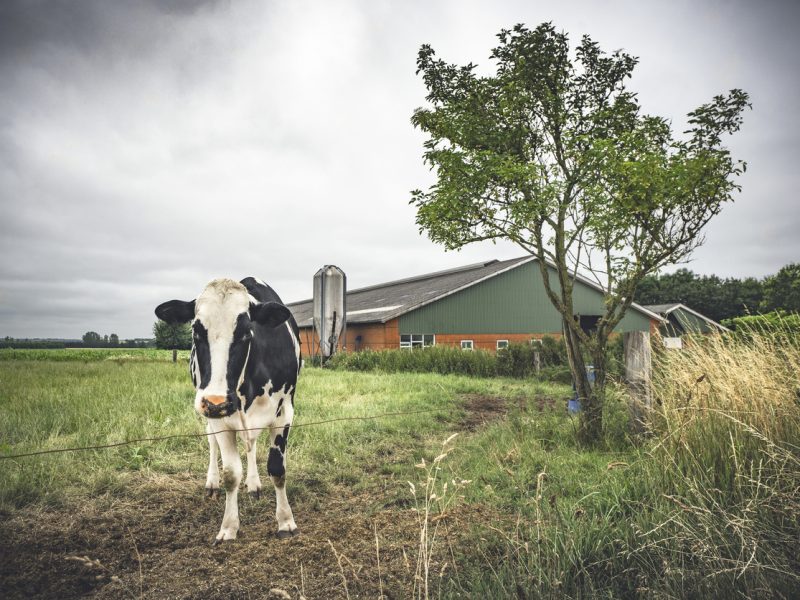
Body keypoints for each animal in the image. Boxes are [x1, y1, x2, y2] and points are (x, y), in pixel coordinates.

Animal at [155, 278, 302, 544]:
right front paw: (229, 527)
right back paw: (212, 482)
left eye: (246, 332)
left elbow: (277, 469)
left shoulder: (285, 411)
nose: (217, 401)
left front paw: (286, 521)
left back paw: (254, 484)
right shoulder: (220, 419)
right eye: (196, 331)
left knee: (251, 444)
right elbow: (231, 474)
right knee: (213, 443)